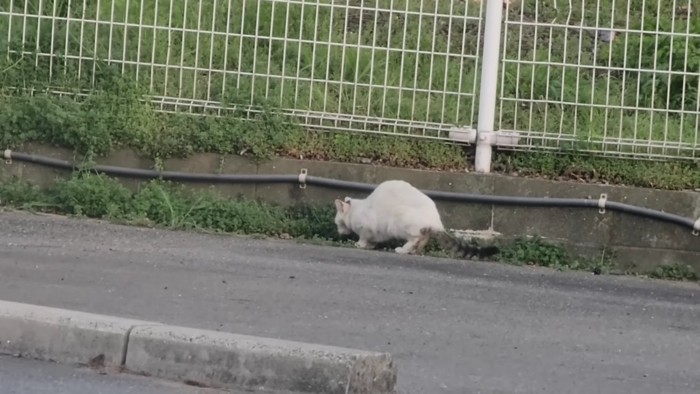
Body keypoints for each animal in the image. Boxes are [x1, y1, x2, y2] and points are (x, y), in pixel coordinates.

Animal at [332, 179, 498, 258]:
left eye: (337, 223)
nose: (338, 231)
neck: (355, 211)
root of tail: (436, 222)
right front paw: (371, 246)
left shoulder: (367, 227)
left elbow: (364, 237)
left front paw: (360, 244)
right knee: (422, 239)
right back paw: (413, 251)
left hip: (399, 222)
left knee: (415, 238)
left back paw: (403, 249)